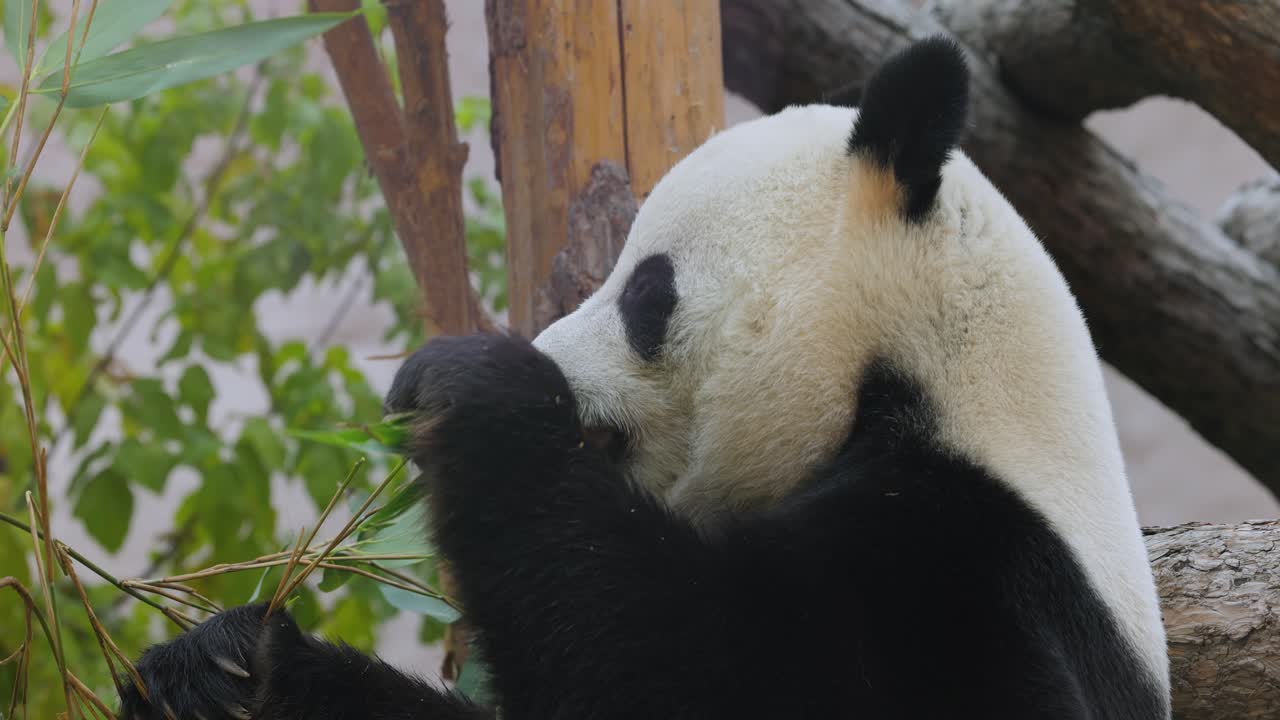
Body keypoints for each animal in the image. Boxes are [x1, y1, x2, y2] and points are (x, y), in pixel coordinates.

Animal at [120, 37, 1170, 719]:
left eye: (644, 292)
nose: (552, 357)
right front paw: (222, 671)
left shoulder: (968, 572)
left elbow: (717, 671)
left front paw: (469, 388)